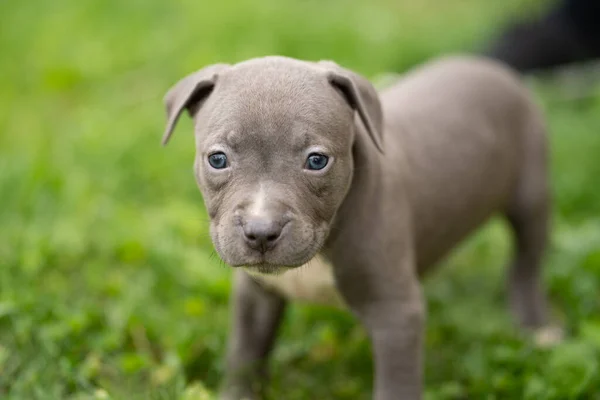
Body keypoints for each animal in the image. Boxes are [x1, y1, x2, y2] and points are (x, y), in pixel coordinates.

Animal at [162, 54, 552, 398]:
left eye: (316, 161)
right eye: (217, 159)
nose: (261, 231)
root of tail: (491, 67)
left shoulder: (396, 313)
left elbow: (397, 387)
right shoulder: (256, 295)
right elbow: (245, 356)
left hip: (532, 196)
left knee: (527, 263)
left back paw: (538, 328)